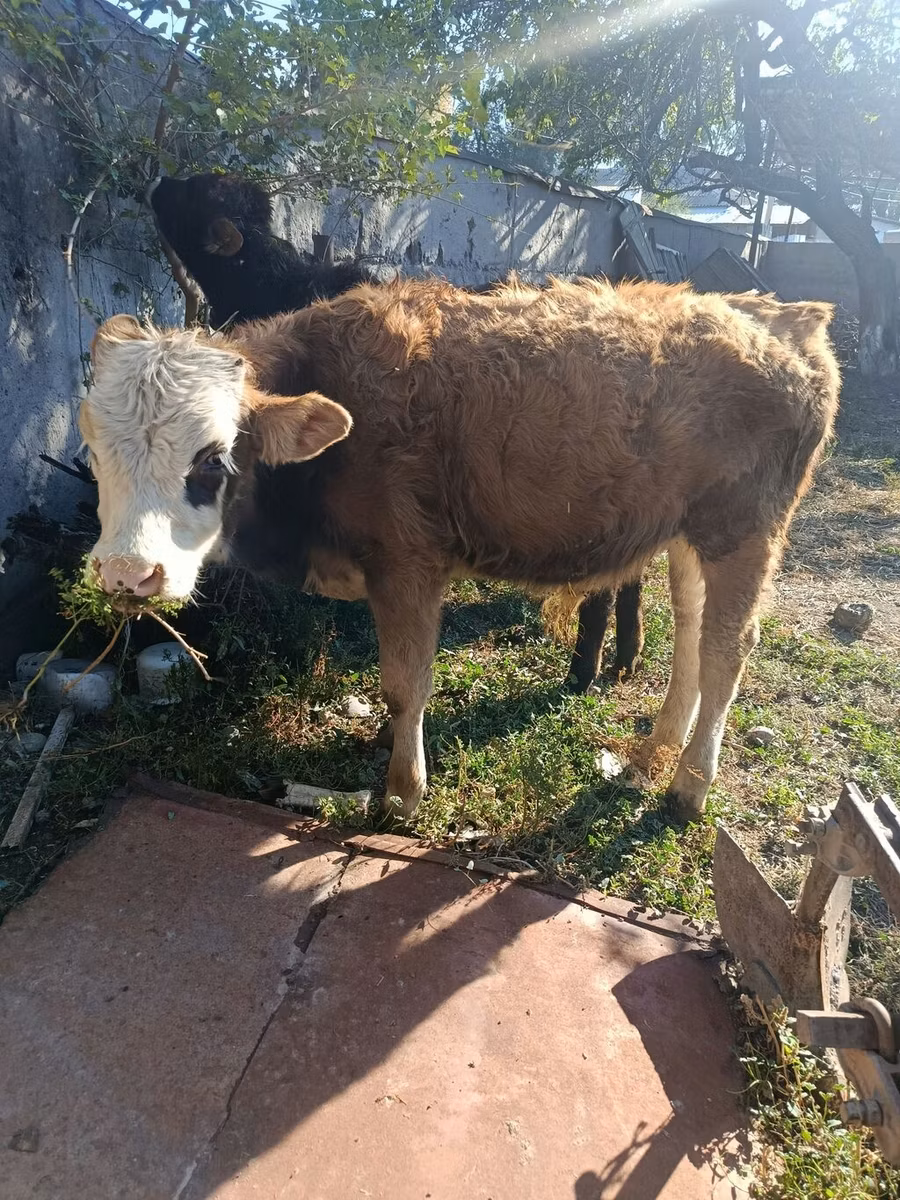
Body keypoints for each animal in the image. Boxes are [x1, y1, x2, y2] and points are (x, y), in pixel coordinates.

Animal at [80, 277, 839, 822]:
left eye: (213, 459)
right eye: (92, 447)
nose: (128, 573)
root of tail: (783, 315)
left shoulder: (408, 563)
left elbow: (403, 682)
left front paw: (403, 790)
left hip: (746, 528)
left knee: (728, 647)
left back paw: (688, 786)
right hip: (688, 532)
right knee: (691, 631)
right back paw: (655, 749)